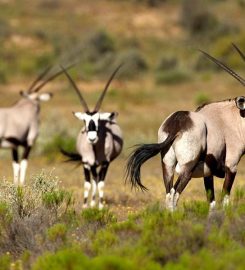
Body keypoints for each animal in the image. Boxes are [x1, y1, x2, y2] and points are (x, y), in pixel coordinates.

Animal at [61, 65, 122, 209]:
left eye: (99, 120)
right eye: (84, 120)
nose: (92, 138)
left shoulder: (105, 163)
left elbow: (101, 184)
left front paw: (99, 208)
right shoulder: (88, 163)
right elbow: (89, 184)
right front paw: (86, 207)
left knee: (97, 180)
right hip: (90, 165)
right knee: (93, 181)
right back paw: (91, 203)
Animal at [127, 44, 244, 211]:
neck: (234, 117)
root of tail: (177, 123)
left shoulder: (208, 173)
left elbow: (212, 202)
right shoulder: (232, 166)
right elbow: (225, 199)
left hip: (168, 165)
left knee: (168, 193)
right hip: (186, 168)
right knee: (174, 193)